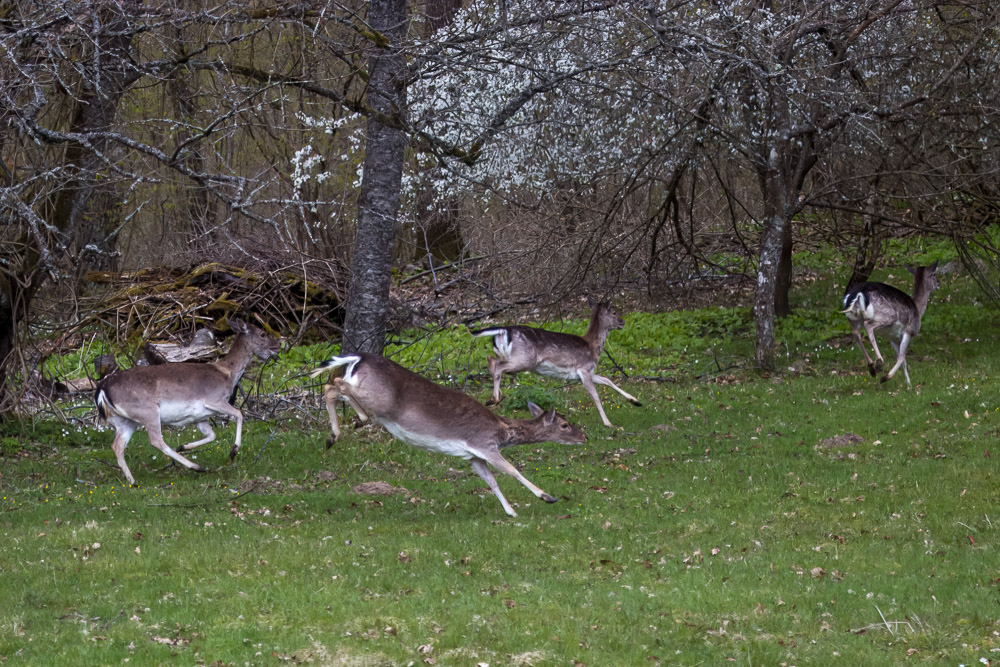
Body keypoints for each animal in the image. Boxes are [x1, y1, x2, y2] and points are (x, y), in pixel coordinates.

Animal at [94, 318, 282, 486]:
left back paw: (133, 481)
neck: (227, 374)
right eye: (262, 333)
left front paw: (184, 446)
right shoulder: (214, 399)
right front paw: (233, 452)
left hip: (124, 420)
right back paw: (197, 467)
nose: (278, 345)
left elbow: (212, 435)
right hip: (147, 411)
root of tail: (101, 388)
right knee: (156, 440)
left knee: (117, 445)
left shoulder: (200, 417)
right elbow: (239, 413)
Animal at [312, 352, 584, 520]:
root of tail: (359, 357)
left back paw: (333, 436)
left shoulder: (474, 456)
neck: (501, 429)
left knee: (331, 386)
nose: (584, 436)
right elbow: (512, 471)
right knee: (334, 384)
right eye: (564, 425)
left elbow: (491, 481)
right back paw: (357, 420)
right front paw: (547, 497)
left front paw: (511, 512)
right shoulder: (484, 444)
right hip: (376, 397)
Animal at [468, 302, 640, 428]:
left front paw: (635, 401)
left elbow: (608, 381)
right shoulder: (583, 369)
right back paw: (494, 398)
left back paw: (495, 397)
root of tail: (504, 330)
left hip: (510, 356)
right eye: (614, 312)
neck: (592, 347)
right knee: (497, 366)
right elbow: (595, 395)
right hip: (525, 360)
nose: (622, 321)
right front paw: (608, 423)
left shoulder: (588, 372)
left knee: (492, 360)